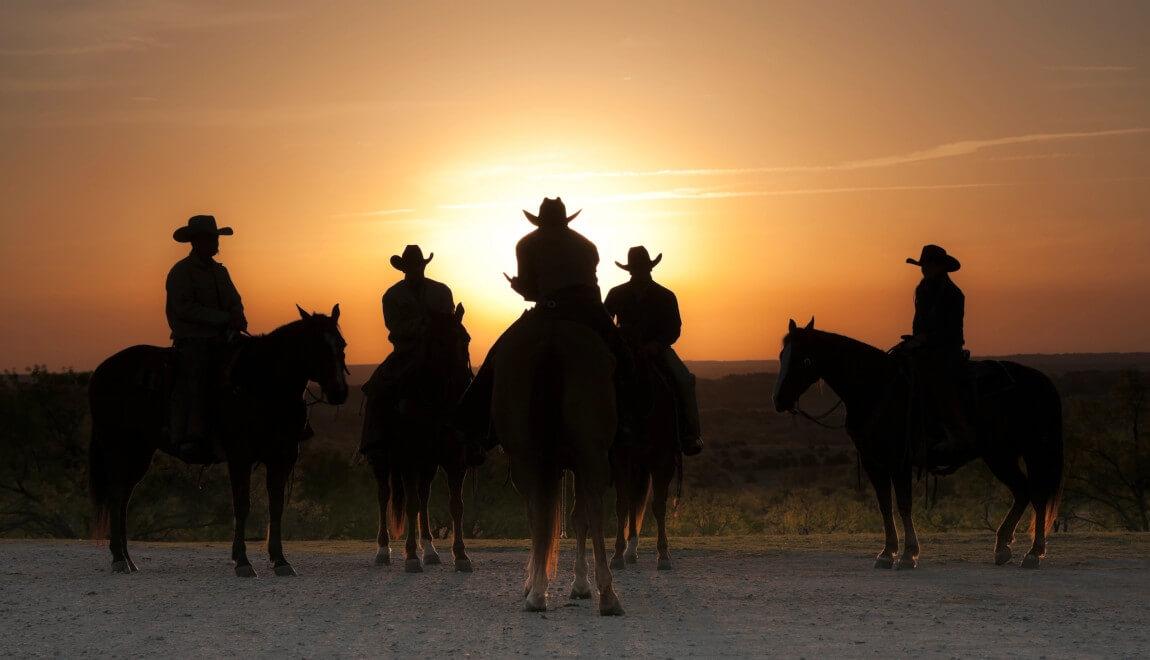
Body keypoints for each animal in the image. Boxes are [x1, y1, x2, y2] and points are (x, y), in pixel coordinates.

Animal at [87, 308, 347, 577]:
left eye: (341, 344)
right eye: (316, 346)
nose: (339, 392)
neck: (262, 384)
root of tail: (101, 371)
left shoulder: (280, 458)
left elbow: (276, 506)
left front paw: (281, 561)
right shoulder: (240, 458)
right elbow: (242, 505)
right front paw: (243, 561)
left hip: (140, 452)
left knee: (123, 499)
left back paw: (128, 560)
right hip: (118, 448)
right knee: (116, 495)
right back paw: (118, 559)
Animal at [358, 305, 471, 574]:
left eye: (466, 339)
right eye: (441, 342)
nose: (464, 384)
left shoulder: (455, 461)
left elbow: (456, 505)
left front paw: (461, 555)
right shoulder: (408, 459)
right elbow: (410, 505)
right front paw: (410, 557)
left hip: (427, 465)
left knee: (423, 497)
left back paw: (430, 551)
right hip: (381, 460)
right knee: (384, 496)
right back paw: (383, 551)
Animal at [492, 315, 625, 616]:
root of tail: (552, 338)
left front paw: (538, 582)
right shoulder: (578, 463)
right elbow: (579, 517)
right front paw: (580, 584)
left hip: (528, 458)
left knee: (538, 510)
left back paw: (539, 592)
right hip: (590, 453)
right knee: (593, 509)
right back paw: (607, 595)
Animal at [611, 349, 680, 572]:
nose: (625, 426)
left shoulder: (664, 462)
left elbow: (659, 506)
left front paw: (664, 555)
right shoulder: (621, 460)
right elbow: (622, 505)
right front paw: (617, 555)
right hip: (635, 466)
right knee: (633, 501)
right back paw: (630, 551)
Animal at [772, 319, 1058, 570]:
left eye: (804, 360)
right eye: (781, 356)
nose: (779, 400)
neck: (875, 388)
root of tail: (1042, 380)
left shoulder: (900, 461)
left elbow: (903, 504)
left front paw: (909, 555)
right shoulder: (873, 462)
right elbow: (884, 505)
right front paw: (887, 553)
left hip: (1031, 452)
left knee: (1037, 494)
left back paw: (1033, 554)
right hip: (1001, 455)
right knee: (1022, 491)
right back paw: (1002, 548)